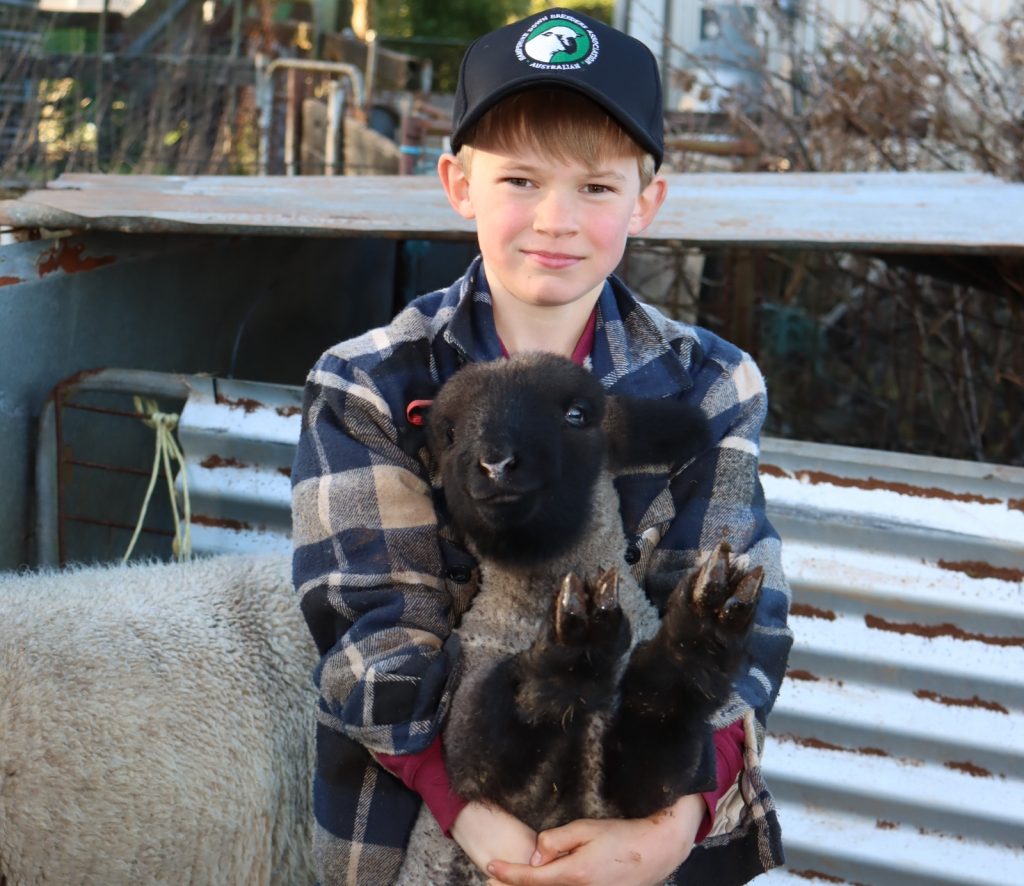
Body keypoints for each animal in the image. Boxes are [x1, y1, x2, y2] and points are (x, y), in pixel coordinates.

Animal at [396, 352, 764, 884]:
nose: (496, 464)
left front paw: (700, 636)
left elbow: (665, 718)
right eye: (448, 432)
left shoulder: (639, 801)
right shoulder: (480, 767)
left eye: (576, 415)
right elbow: (498, 728)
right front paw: (567, 656)